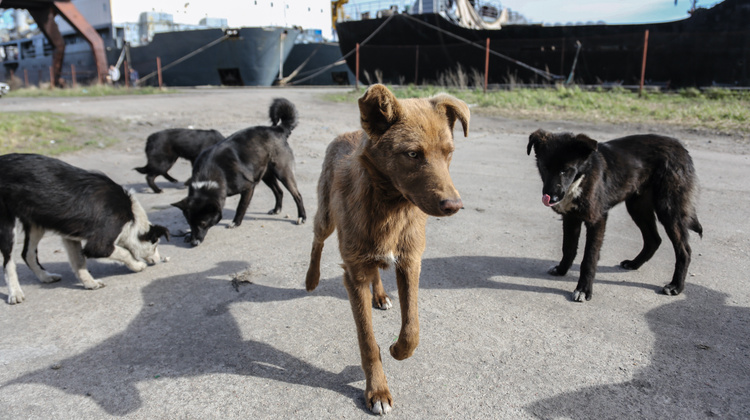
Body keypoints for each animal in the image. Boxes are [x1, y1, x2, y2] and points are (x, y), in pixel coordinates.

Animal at [0, 153, 171, 304]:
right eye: (155, 244)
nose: (159, 260)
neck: (131, 216)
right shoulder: (99, 245)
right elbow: (124, 252)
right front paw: (137, 265)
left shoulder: (70, 236)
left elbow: (79, 261)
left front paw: (89, 283)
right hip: (7, 226)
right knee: (8, 262)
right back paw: (15, 293)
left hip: (37, 224)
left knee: (27, 254)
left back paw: (45, 276)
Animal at [173, 98, 306, 246]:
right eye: (189, 223)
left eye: (203, 223)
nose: (194, 243)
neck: (211, 172)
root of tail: (277, 129)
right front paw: (188, 235)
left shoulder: (249, 187)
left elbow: (241, 206)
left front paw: (235, 223)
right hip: (266, 175)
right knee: (279, 191)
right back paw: (277, 209)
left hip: (282, 172)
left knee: (297, 195)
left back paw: (301, 217)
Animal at [306, 84, 470, 414]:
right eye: (412, 154)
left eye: (448, 153)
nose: (454, 206)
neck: (390, 209)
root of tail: (347, 133)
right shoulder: (354, 275)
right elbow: (367, 341)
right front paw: (377, 391)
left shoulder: (410, 262)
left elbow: (412, 329)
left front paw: (397, 349)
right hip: (326, 217)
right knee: (317, 239)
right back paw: (311, 279)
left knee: (377, 271)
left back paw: (380, 295)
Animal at [528, 130, 704, 302]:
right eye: (544, 167)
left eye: (566, 170)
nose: (552, 198)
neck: (581, 178)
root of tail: (681, 148)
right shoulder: (571, 218)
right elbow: (568, 248)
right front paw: (562, 270)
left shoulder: (597, 220)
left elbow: (589, 258)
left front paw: (583, 290)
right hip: (637, 207)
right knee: (653, 239)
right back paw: (634, 264)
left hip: (668, 210)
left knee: (684, 251)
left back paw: (676, 286)